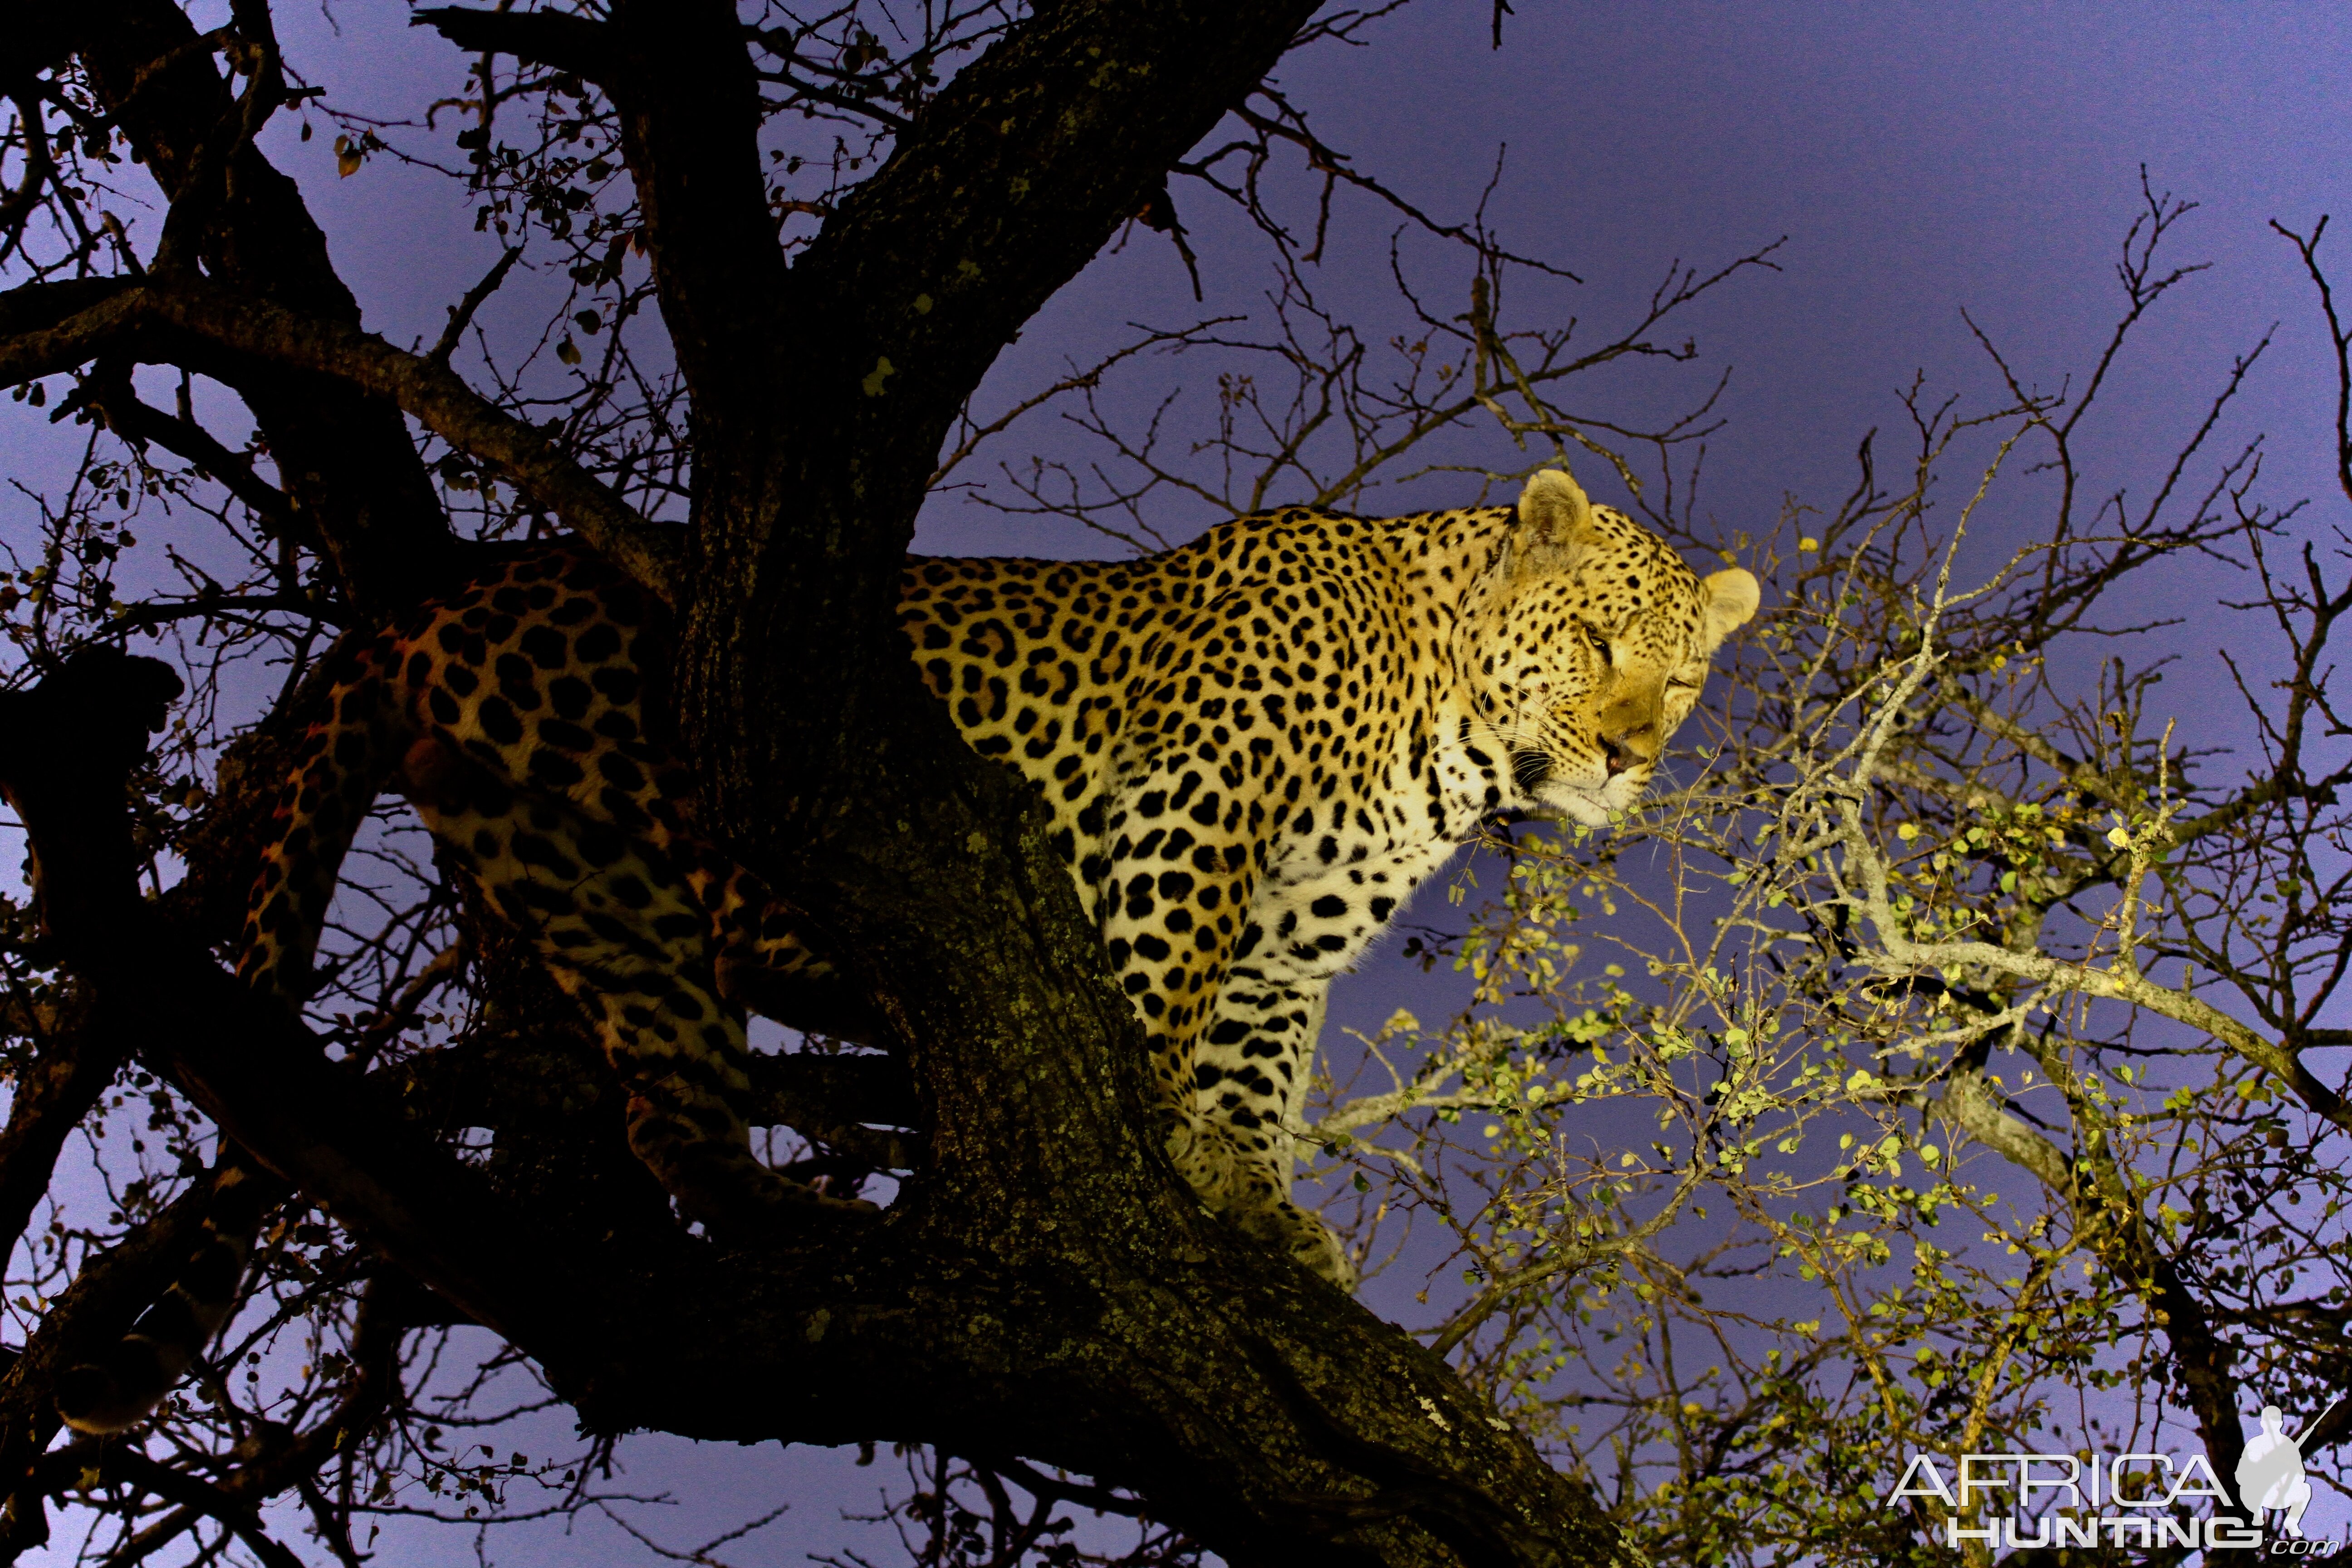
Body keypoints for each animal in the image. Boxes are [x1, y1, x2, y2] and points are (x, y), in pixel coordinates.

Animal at [55, 465, 1759, 1439]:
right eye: (1597, 646)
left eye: (1683, 682)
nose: (1628, 755)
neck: (1450, 731)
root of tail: (459, 589)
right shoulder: (1188, 824)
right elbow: (1156, 1018)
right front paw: (1156, 1179)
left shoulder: (1286, 944)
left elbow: (1253, 1078)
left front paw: (1255, 1211)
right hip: (635, 831)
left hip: (577, 876)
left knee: (660, 1108)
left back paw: (785, 1223)